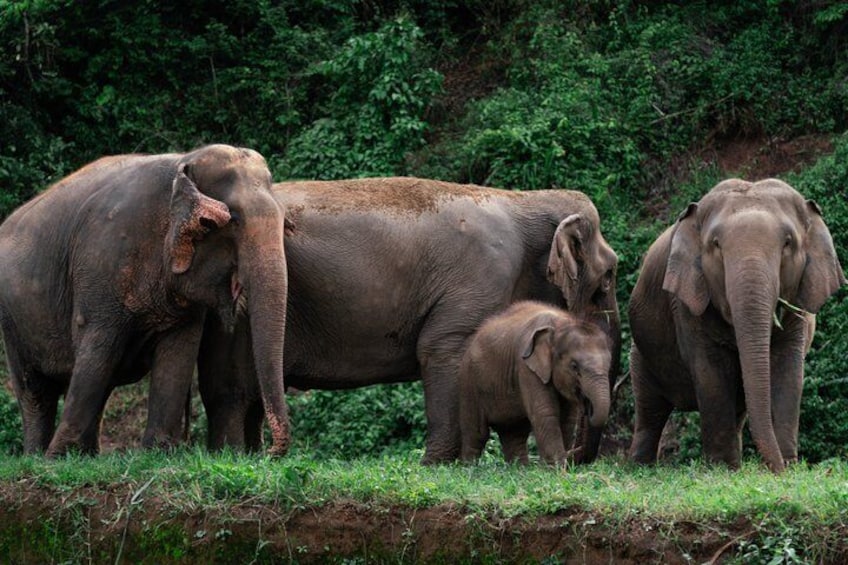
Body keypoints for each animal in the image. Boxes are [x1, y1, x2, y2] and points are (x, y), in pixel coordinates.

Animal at [0, 144, 291, 457]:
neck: (183, 161)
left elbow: (178, 353)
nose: (268, 452)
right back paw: (38, 455)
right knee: (36, 389)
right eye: (234, 220)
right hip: (12, 321)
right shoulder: (103, 262)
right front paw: (57, 457)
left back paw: (85, 454)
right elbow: (97, 348)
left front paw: (158, 452)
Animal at [459, 300, 612, 465]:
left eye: (609, 364)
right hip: (469, 381)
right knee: (476, 433)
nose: (588, 407)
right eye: (574, 366)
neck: (561, 324)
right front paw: (556, 467)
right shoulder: (526, 367)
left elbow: (568, 419)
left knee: (514, 433)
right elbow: (545, 412)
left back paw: (520, 467)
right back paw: (469, 466)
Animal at [628, 178, 846, 473]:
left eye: (788, 243)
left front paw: (788, 465)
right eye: (716, 245)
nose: (776, 469)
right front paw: (721, 469)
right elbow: (711, 372)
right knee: (650, 409)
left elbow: (788, 368)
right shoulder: (686, 302)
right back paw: (640, 467)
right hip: (640, 351)